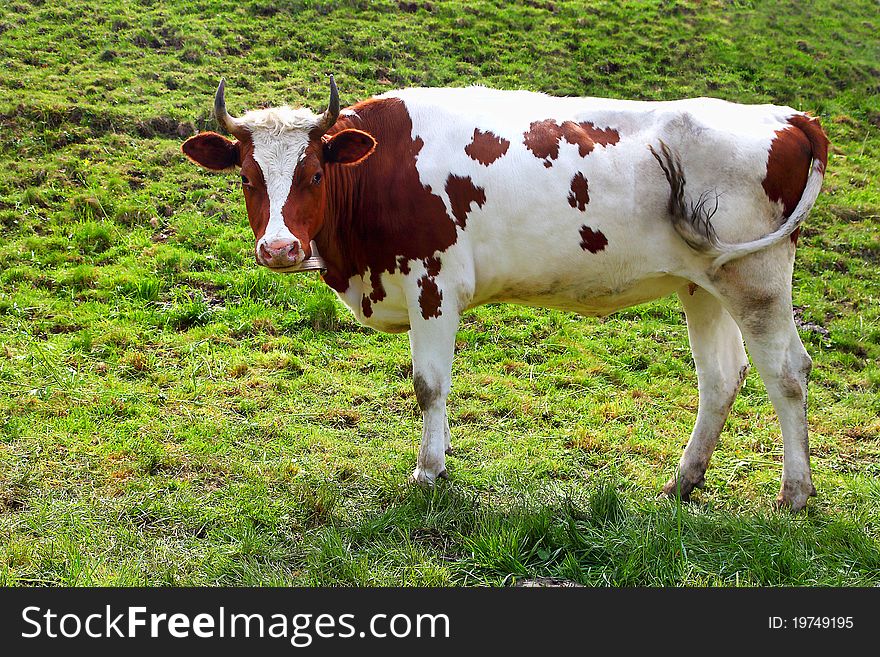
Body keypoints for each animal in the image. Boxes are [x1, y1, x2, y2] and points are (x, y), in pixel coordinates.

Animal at [182, 75, 828, 508]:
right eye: (248, 177)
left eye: (314, 174)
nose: (279, 249)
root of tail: (789, 116)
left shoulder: (434, 283)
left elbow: (428, 385)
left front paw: (428, 471)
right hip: (705, 283)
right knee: (721, 377)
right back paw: (682, 481)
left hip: (757, 277)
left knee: (787, 372)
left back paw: (795, 493)